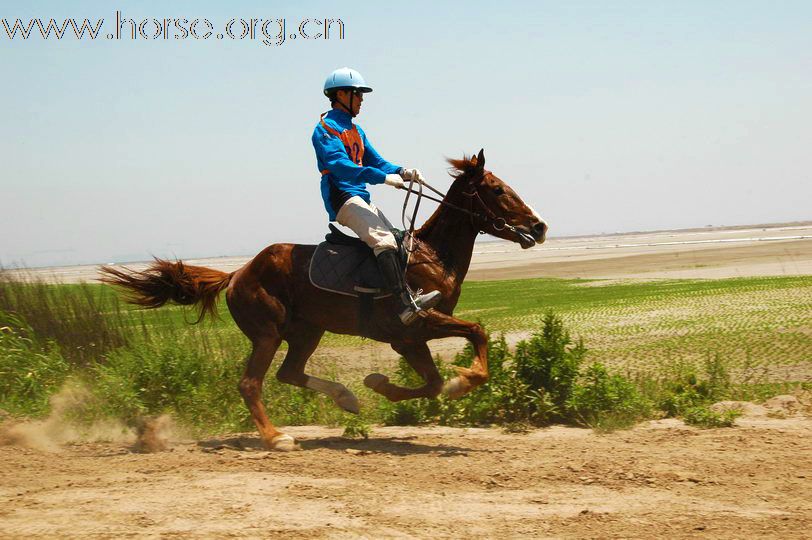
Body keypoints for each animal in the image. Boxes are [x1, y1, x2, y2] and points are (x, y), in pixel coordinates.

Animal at [100, 150, 544, 450]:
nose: (539, 227)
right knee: (251, 383)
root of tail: (237, 273)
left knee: (289, 373)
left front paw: (381, 384)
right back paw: (276, 437)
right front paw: (462, 381)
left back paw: (346, 398)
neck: (431, 255)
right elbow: (477, 333)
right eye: (497, 190)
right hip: (267, 334)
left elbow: (432, 383)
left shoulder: (408, 339)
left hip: (307, 332)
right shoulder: (417, 323)